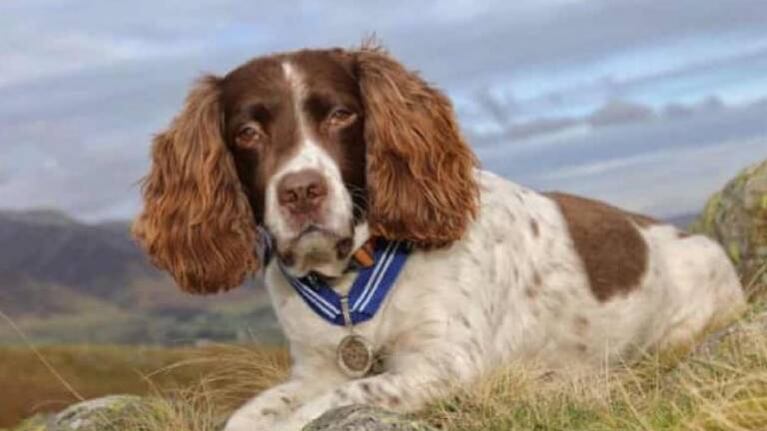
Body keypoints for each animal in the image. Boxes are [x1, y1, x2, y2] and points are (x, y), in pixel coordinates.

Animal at [135, 43, 748, 428]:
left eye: (340, 115)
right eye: (247, 131)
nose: (301, 191)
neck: (350, 279)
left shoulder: (447, 364)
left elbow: (337, 398)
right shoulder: (311, 368)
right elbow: (253, 412)